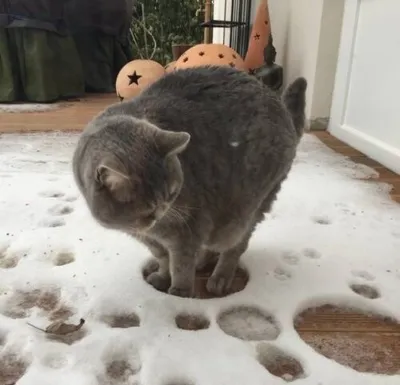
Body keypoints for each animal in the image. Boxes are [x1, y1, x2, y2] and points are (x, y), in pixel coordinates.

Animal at [72, 66, 306, 296]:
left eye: (171, 193)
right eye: (146, 209)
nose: (160, 212)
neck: (150, 229)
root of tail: (280, 104)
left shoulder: (187, 230)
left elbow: (180, 265)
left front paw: (179, 292)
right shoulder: (145, 237)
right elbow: (162, 257)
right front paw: (161, 277)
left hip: (244, 214)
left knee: (235, 246)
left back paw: (219, 278)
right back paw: (202, 262)